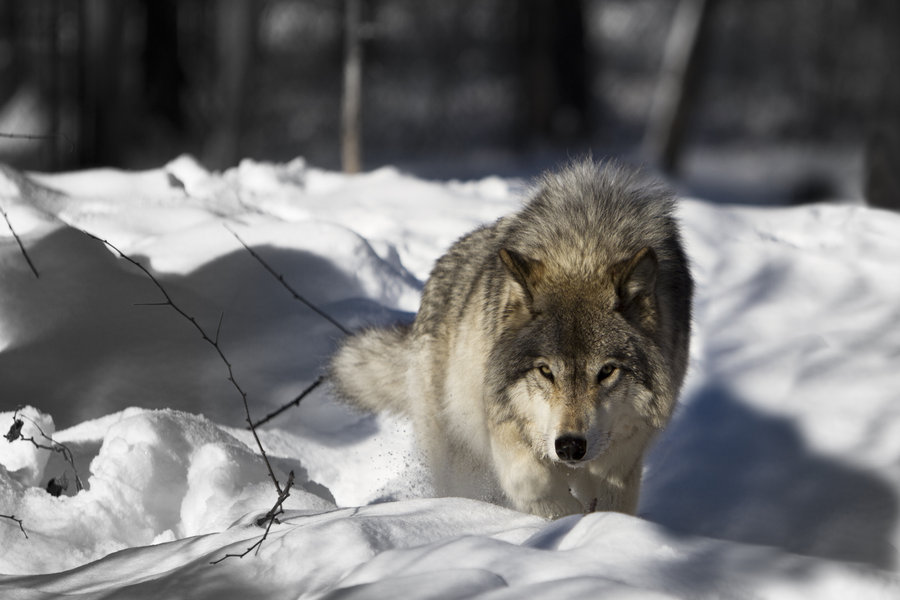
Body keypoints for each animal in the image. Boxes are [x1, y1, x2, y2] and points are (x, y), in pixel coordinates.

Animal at [330, 161, 696, 520]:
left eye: (606, 371)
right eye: (545, 371)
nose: (569, 446)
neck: (583, 252)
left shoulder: (624, 452)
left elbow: (609, 502)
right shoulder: (502, 422)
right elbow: (532, 483)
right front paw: (566, 521)